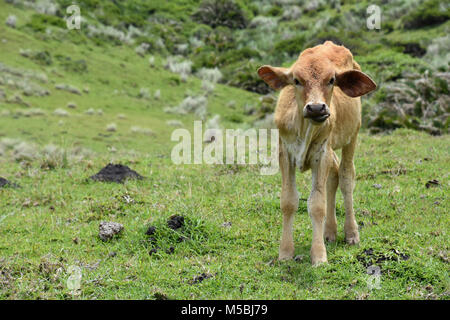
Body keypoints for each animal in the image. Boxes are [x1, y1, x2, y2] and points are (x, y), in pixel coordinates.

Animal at [256, 40, 376, 264]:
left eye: (331, 80)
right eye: (296, 80)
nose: (316, 108)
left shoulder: (322, 153)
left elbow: (317, 205)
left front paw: (319, 255)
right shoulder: (285, 153)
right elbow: (288, 201)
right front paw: (285, 252)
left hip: (352, 136)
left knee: (346, 177)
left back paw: (351, 233)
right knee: (334, 176)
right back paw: (329, 232)